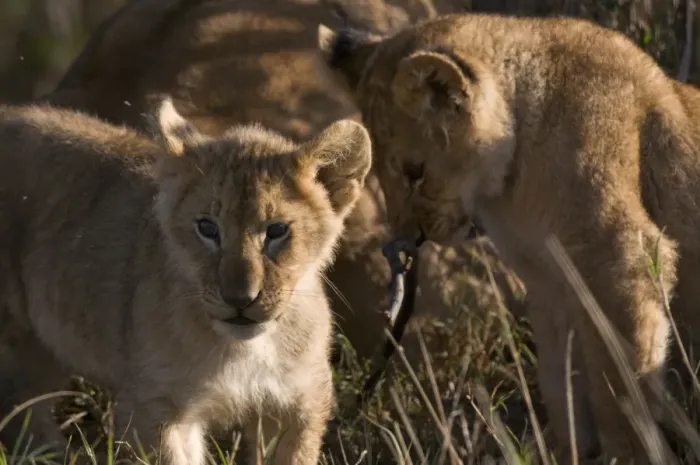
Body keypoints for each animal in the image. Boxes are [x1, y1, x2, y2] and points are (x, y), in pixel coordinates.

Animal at [0, 99, 372, 465]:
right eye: (207, 228)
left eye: (277, 230)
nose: (240, 300)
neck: (243, 350)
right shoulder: (156, 406)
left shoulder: (298, 404)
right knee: (20, 412)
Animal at [316, 12, 700, 465]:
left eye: (414, 171)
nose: (408, 235)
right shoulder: (551, 285)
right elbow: (561, 383)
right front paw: (567, 450)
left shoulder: (621, 259)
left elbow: (620, 389)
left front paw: (629, 453)